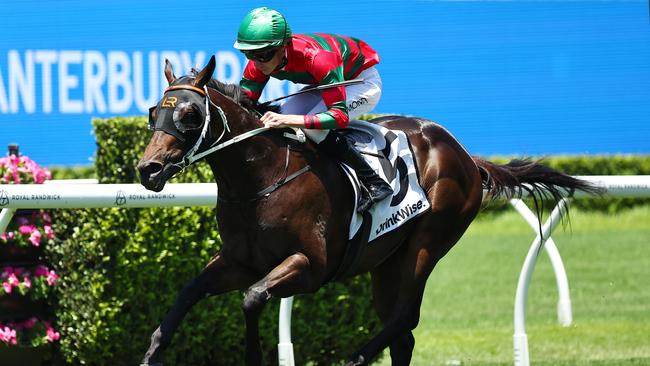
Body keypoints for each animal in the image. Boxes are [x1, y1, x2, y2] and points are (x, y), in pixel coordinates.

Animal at [135, 55, 596, 364]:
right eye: (154, 111)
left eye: (190, 114)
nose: (148, 169)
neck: (262, 177)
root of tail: (466, 155)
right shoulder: (239, 261)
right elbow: (189, 292)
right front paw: (152, 351)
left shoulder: (311, 266)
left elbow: (251, 299)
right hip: (385, 263)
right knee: (403, 333)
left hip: (427, 243)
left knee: (403, 318)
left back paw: (354, 358)